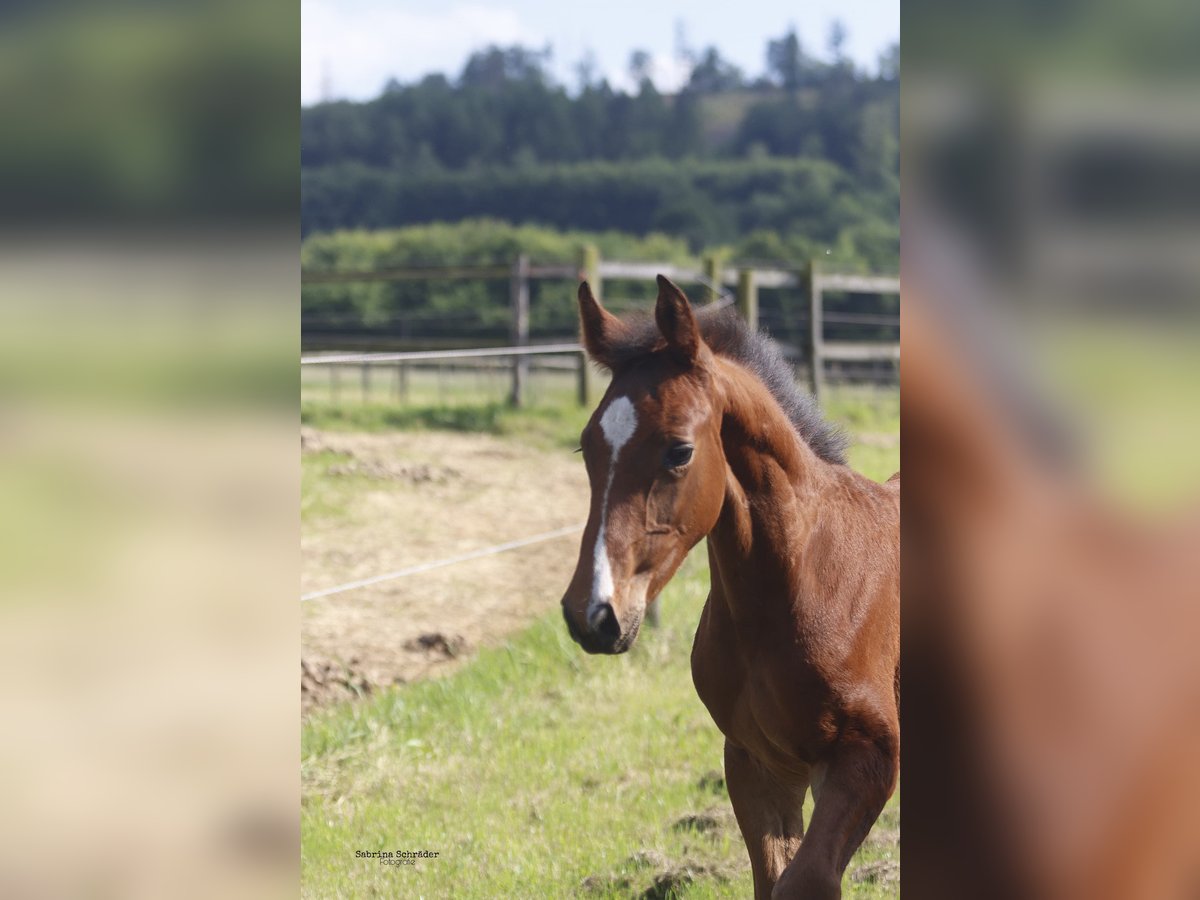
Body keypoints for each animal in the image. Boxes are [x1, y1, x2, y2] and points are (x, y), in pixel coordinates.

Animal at [561, 278, 902, 897]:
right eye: (586, 447)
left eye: (679, 450)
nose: (593, 615)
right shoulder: (756, 762)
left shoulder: (869, 758)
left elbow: (806, 881)